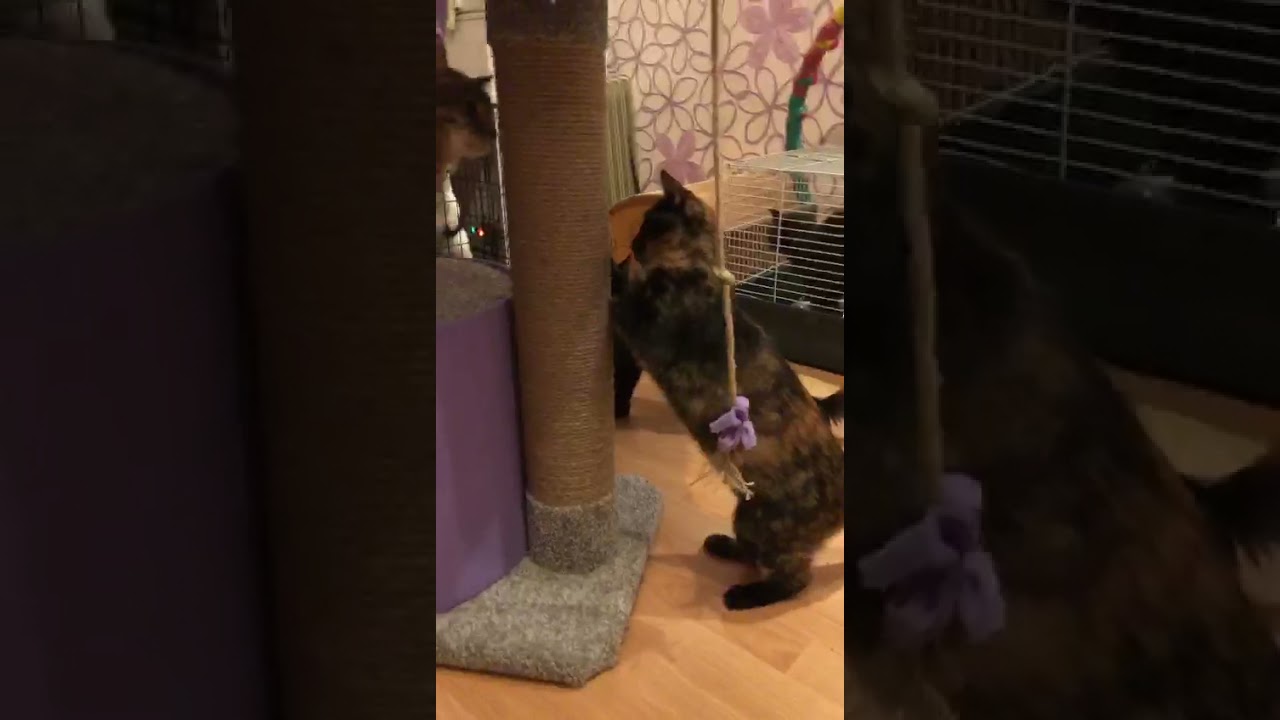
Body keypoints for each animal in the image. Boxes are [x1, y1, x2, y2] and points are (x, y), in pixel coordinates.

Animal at [611, 169, 846, 611]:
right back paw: (720, 544)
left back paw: (743, 596)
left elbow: (620, 294)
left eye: (651, 222)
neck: (696, 269)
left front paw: (612, 267)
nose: (631, 244)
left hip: (765, 523)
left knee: (794, 577)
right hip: (747, 515)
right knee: (755, 553)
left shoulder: (648, 328)